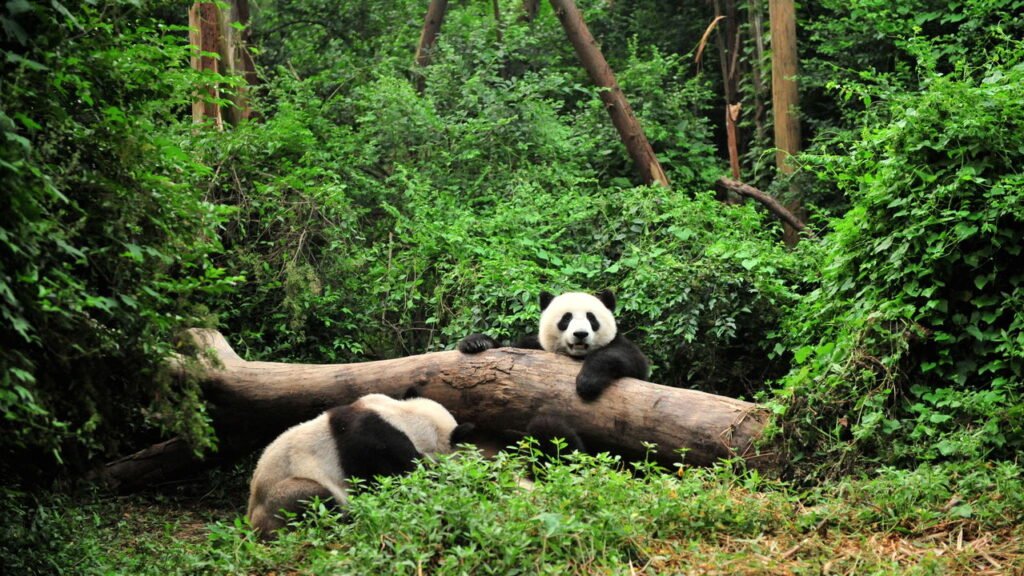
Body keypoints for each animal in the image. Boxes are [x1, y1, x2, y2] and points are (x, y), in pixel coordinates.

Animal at [459, 290, 650, 402]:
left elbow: (627, 357)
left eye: (591, 318)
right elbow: (510, 347)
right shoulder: (536, 347)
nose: (580, 334)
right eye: (566, 318)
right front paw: (475, 342)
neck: (576, 355)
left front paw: (588, 382)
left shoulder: (620, 345)